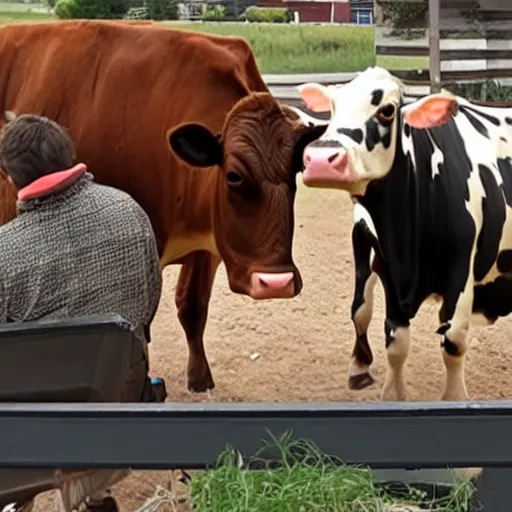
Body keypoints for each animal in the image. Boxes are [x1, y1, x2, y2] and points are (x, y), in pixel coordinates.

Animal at [0, 18, 326, 390]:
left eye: (297, 168)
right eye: (233, 175)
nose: (276, 283)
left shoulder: (210, 245)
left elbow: (192, 306)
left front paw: (200, 377)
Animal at [298, 68, 512, 402]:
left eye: (387, 110)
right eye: (332, 107)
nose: (321, 160)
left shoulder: (460, 275)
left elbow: (453, 341)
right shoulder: (388, 270)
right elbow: (395, 340)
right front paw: (392, 393)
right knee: (360, 309)